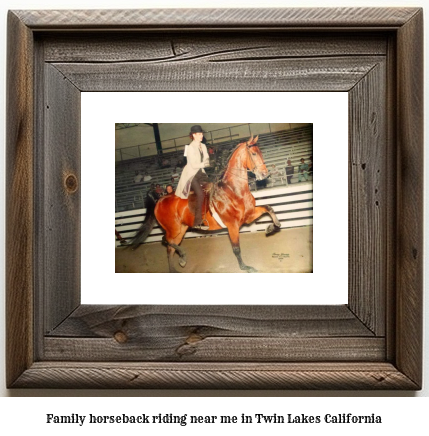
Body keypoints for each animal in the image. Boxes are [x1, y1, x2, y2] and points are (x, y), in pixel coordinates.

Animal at [130, 136, 280, 272]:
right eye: (254, 154)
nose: (265, 174)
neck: (233, 190)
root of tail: (159, 200)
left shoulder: (248, 216)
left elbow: (269, 208)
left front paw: (272, 227)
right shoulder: (232, 225)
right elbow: (236, 248)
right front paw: (246, 268)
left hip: (181, 229)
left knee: (169, 247)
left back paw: (176, 266)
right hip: (173, 229)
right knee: (165, 240)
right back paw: (182, 257)